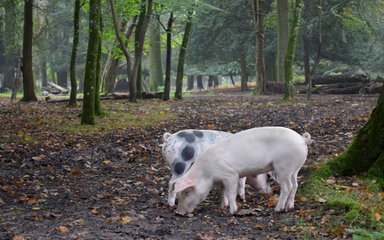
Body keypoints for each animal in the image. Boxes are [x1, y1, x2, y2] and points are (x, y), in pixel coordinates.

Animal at [172, 126, 310, 215]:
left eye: (187, 192)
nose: (178, 212)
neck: (206, 173)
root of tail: (302, 139)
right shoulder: (220, 180)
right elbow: (222, 192)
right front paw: (222, 206)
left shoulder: (230, 175)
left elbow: (231, 193)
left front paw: (232, 211)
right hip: (295, 168)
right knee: (295, 185)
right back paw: (289, 208)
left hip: (283, 166)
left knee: (287, 187)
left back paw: (278, 209)